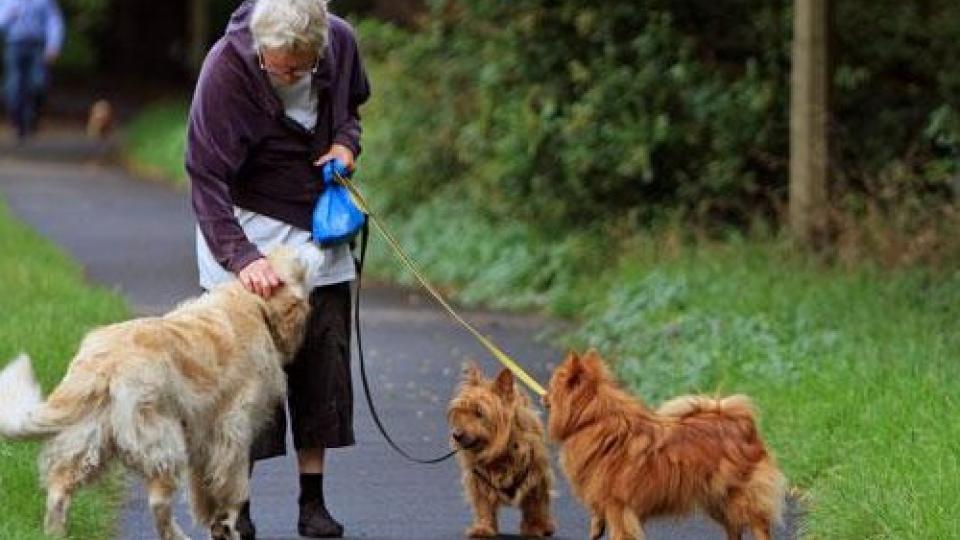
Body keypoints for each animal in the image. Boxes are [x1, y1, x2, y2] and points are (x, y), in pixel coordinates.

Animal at [0, 248, 310, 540]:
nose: (312, 246)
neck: (248, 302)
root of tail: (104, 364)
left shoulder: (204, 438)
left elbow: (205, 489)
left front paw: (215, 521)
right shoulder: (232, 429)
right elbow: (233, 489)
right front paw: (227, 524)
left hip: (87, 442)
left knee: (58, 491)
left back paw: (56, 532)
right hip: (162, 441)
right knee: (158, 502)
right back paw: (178, 536)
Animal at [448, 364, 556, 536]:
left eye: (479, 413)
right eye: (460, 411)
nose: (456, 435)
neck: (499, 451)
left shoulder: (535, 475)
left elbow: (534, 503)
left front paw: (535, 526)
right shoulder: (478, 479)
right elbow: (483, 504)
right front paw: (483, 527)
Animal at [544, 350, 784, 540]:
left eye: (551, 386)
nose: (544, 396)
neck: (593, 418)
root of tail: (742, 424)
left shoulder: (618, 506)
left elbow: (619, 532)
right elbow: (597, 517)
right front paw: (596, 528)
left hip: (739, 498)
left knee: (759, 526)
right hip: (718, 501)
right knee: (735, 528)